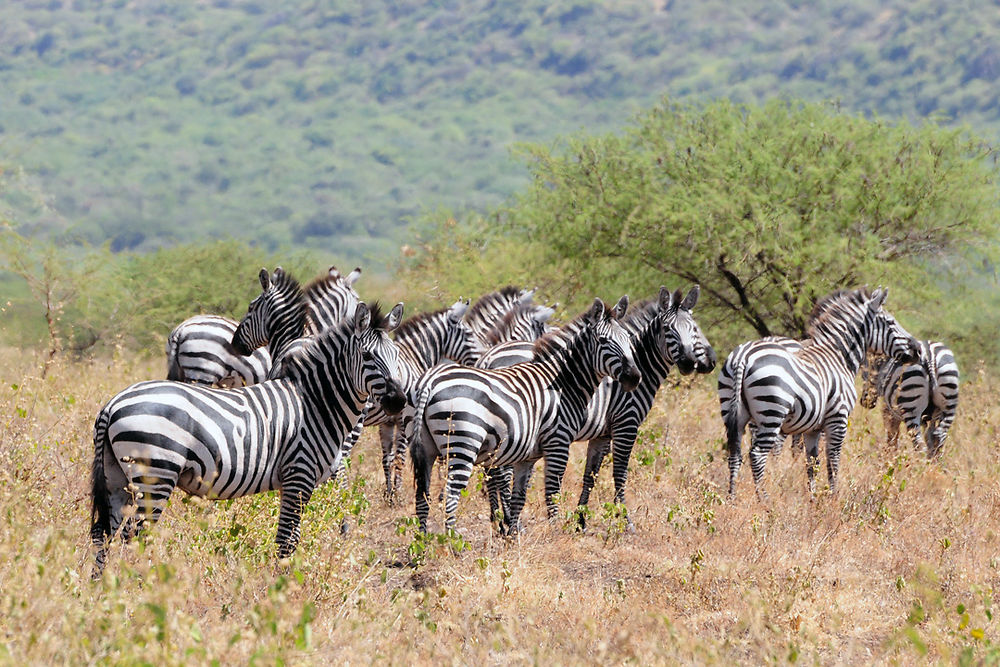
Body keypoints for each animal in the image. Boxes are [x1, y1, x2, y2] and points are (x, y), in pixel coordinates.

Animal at [89, 300, 406, 576]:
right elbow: (287, 540)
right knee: (136, 535)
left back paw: (102, 590)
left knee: (104, 533)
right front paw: (281, 588)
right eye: (368, 357)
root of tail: (112, 404)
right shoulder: (298, 474)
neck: (315, 403)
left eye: (397, 357)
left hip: (117, 476)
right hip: (156, 474)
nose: (399, 402)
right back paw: (139, 588)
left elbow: (291, 535)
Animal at [406, 294, 640, 536]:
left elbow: (519, 497)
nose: (634, 378)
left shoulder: (527, 456)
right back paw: (451, 541)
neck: (565, 383)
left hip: (425, 447)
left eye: (628, 338)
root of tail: (430, 381)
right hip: (463, 445)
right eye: (603, 341)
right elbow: (552, 492)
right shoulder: (558, 442)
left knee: (422, 496)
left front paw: (512, 533)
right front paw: (554, 532)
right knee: (451, 497)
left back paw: (424, 540)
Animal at [720, 290, 920, 498]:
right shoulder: (838, 419)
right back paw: (764, 500)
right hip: (771, 413)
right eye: (891, 322)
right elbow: (833, 459)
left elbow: (812, 462)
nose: (919, 349)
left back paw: (731, 497)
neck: (839, 356)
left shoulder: (813, 428)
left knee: (734, 454)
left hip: (733, 412)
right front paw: (833, 496)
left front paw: (813, 497)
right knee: (757, 454)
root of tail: (744, 356)